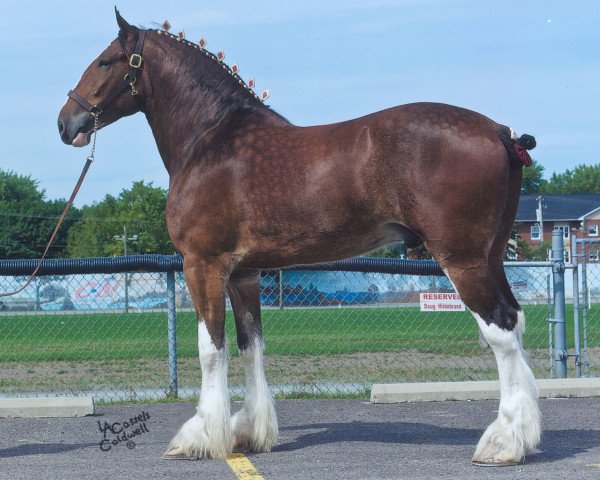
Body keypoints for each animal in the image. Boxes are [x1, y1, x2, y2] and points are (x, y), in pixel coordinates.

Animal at [58, 10, 540, 464]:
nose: (66, 123)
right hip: (490, 257)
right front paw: (250, 432)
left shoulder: (203, 264)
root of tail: (499, 132)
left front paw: (199, 436)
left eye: (105, 61)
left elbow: (211, 348)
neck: (211, 139)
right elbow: (250, 345)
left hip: (463, 260)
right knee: (515, 323)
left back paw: (502, 444)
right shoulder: (244, 274)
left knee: (501, 331)